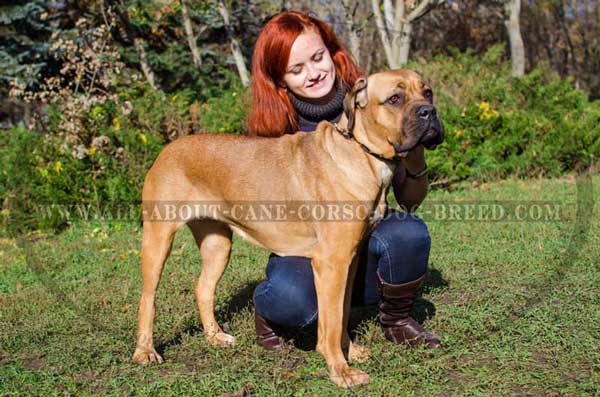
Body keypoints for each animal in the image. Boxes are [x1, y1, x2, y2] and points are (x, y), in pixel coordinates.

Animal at [135, 69, 446, 386]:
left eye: (428, 92)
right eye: (394, 98)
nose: (429, 112)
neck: (362, 153)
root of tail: (167, 149)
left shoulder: (350, 259)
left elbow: (342, 311)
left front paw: (350, 351)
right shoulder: (332, 263)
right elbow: (331, 322)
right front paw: (340, 369)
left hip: (217, 243)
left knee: (203, 289)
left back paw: (215, 336)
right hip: (158, 239)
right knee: (148, 298)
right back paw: (145, 351)